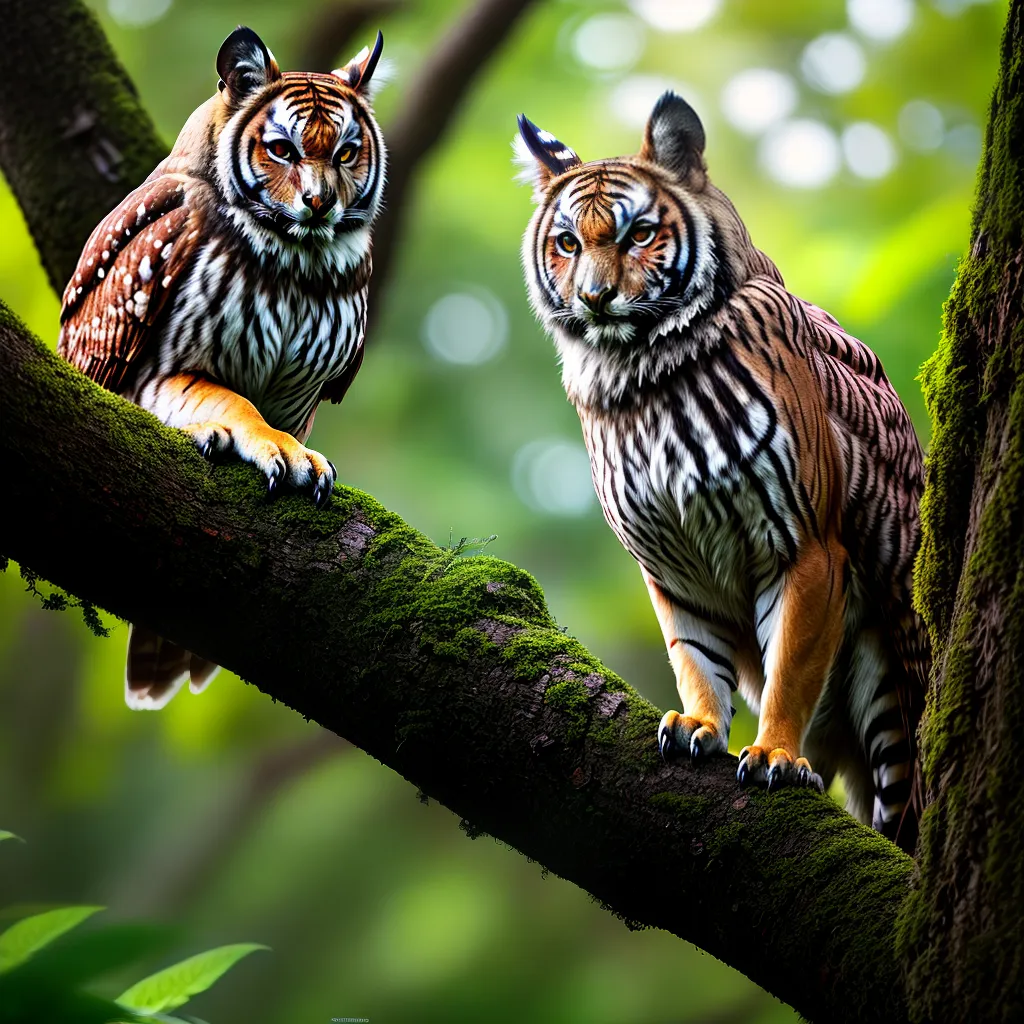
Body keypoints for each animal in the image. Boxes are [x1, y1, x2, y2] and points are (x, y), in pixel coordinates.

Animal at [514, 91, 928, 850]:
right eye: (567, 243)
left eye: (640, 233)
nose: (593, 296)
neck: (639, 375)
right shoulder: (670, 563)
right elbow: (692, 655)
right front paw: (699, 725)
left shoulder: (806, 544)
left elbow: (791, 663)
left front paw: (776, 755)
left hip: (891, 678)